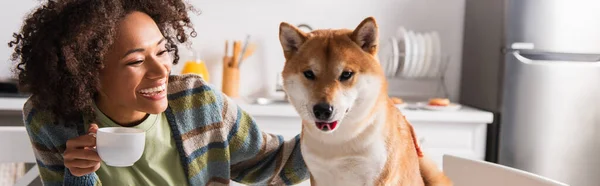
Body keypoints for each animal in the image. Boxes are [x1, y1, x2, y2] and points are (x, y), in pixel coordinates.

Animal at [278, 16, 452, 185]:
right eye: (309, 74)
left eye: (346, 74)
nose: (322, 110)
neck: (339, 141)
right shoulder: (318, 176)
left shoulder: (378, 178)